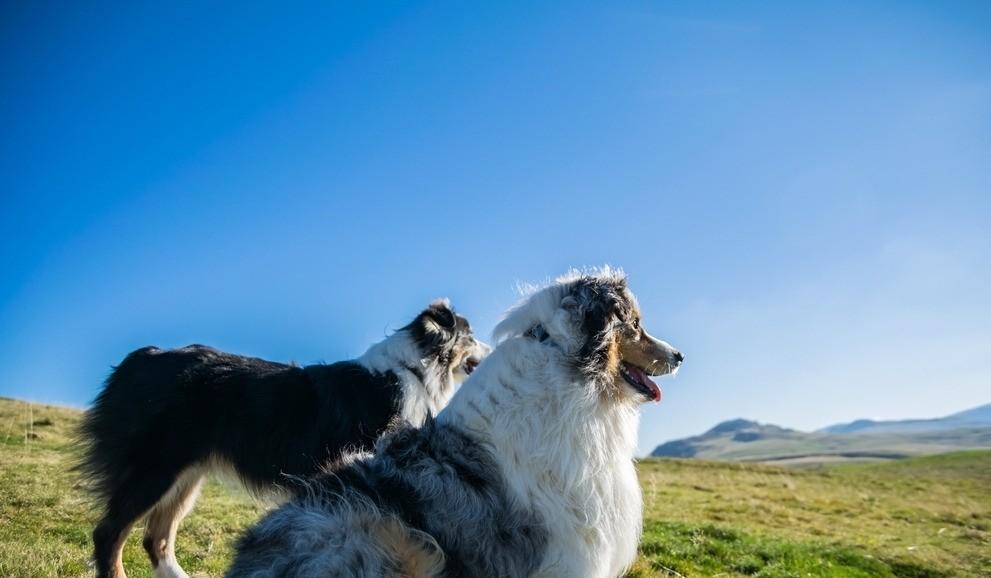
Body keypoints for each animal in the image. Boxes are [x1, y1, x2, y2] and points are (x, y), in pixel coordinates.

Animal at [79, 300, 490, 576]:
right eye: (471, 336)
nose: (491, 349)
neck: (415, 370)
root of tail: (142, 357)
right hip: (155, 467)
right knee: (108, 533)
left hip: (187, 474)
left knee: (156, 539)